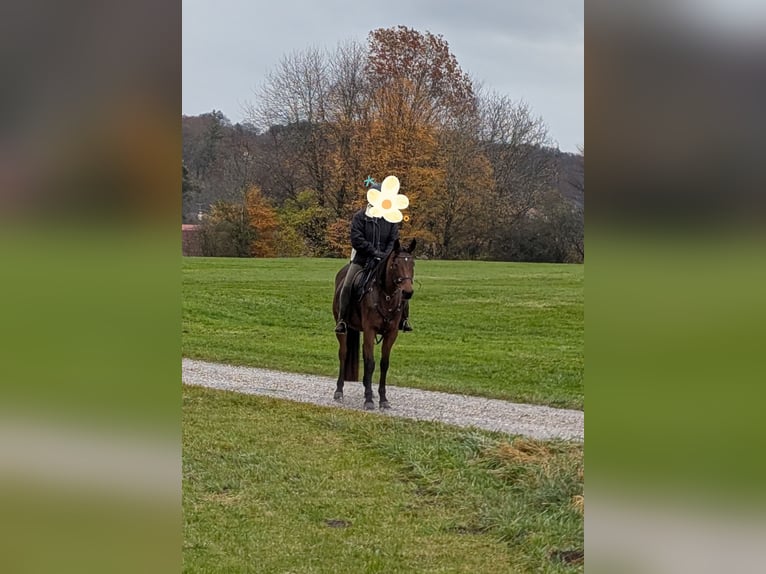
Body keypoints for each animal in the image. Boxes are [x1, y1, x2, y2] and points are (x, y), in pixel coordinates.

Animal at [332, 238, 416, 410]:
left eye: (413, 264)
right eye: (395, 264)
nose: (407, 292)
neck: (386, 295)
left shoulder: (391, 333)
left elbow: (384, 364)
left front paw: (382, 398)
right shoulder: (370, 330)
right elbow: (370, 363)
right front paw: (369, 400)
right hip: (342, 327)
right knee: (343, 354)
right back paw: (339, 391)